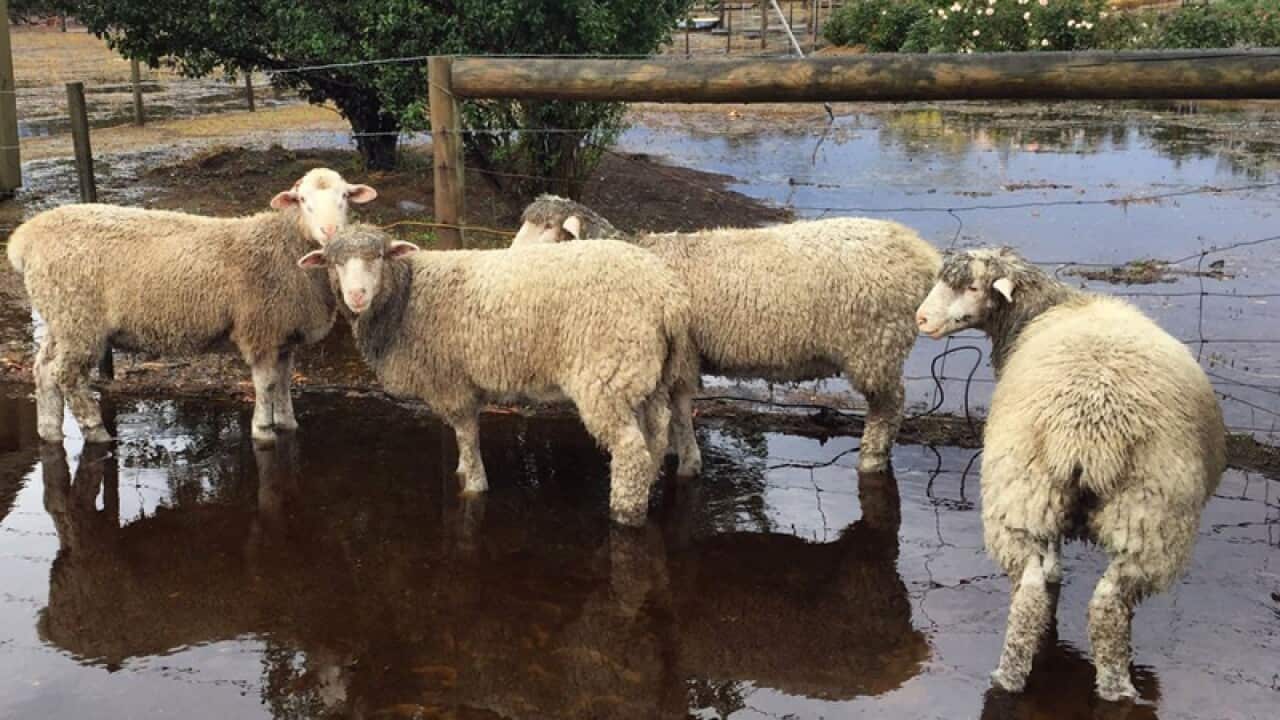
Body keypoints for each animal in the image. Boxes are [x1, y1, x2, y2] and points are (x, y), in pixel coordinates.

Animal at [6, 168, 377, 445]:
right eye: (302, 201)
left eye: (344, 197)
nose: (330, 231)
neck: (287, 248)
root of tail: (23, 239)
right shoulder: (259, 328)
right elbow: (266, 383)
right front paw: (263, 430)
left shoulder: (284, 332)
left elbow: (284, 382)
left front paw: (287, 423)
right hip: (78, 318)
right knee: (66, 375)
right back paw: (96, 431)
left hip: (60, 316)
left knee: (43, 369)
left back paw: (49, 430)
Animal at [296, 224, 697, 526]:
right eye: (333, 262)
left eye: (378, 257)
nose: (357, 295)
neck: (407, 297)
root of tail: (668, 297)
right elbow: (463, 438)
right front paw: (463, 469)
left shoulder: (452, 382)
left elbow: (466, 433)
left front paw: (473, 484)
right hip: (647, 376)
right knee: (657, 432)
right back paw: (648, 483)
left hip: (608, 374)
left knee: (630, 449)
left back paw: (625, 512)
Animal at [511, 195, 941, 474]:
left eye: (545, 235)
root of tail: (921, 252)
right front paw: (678, 454)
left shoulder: (681, 358)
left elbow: (680, 412)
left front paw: (687, 463)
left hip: (876, 345)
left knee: (889, 407)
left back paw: (871, 460)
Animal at [914, 247, 1226, 702]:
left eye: (971, 287)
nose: (920, 319)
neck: (1054, 307)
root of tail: (1086, 431)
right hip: (1140, 511)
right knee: (1103, 604)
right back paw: (1112, 685)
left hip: (1038, 496)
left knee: (1037, 595)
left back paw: (1021, 677)